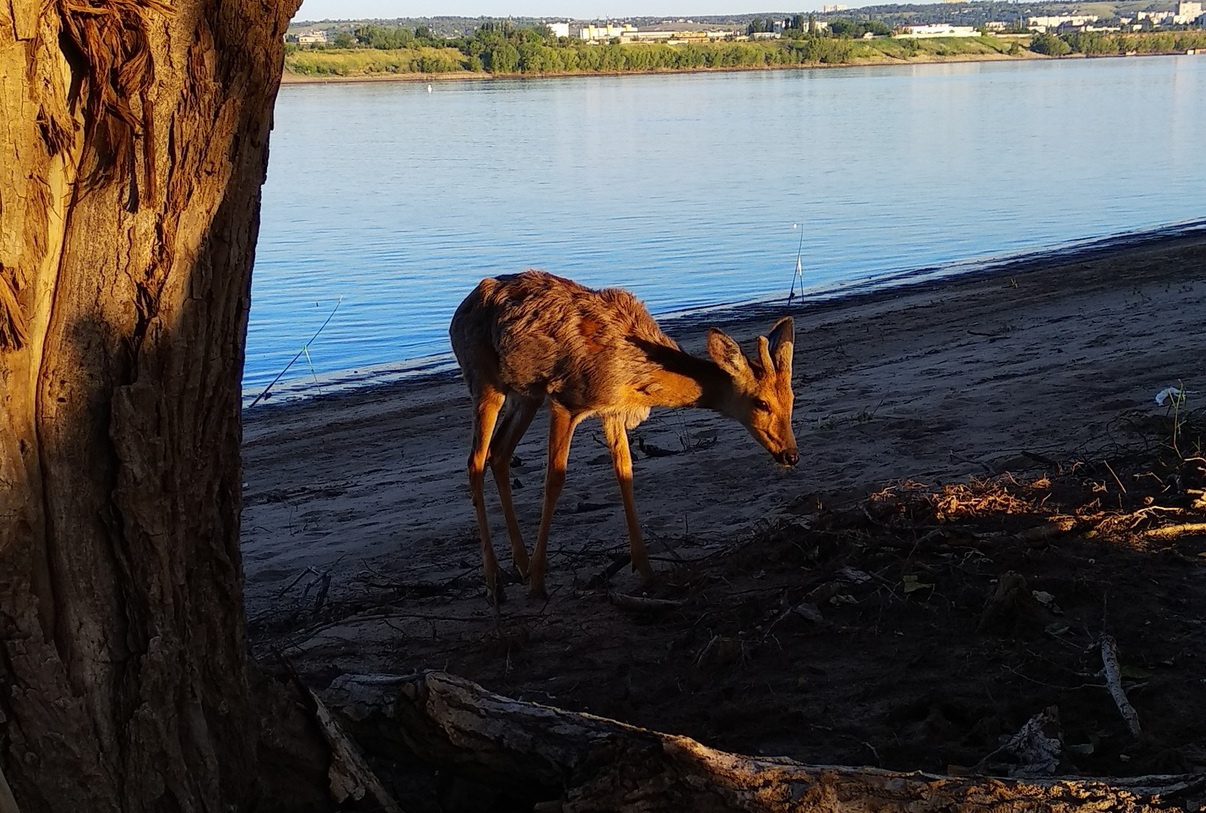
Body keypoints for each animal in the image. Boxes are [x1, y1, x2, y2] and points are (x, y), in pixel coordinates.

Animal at [448, 268, 795, 598]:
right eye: (761, 402)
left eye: (791, 398)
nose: (791, 454)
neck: (637, 372)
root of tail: (458, 313)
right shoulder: (567, 400)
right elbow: (555, 479)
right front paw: (537, 582)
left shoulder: (613, 409)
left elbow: (625, 471)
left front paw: (645, 568)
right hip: (484, 380)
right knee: (475, 461)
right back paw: (495, 582)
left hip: (527, 394)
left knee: (499, 453)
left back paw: (518, 565)